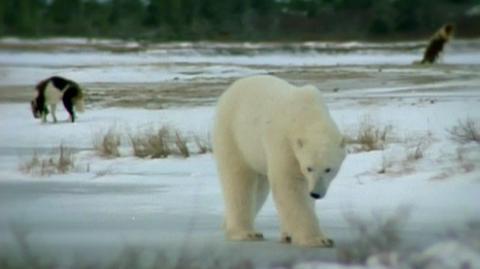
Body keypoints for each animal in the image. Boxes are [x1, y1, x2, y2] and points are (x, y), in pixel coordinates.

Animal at [213, 74, 344, 246]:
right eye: (309, 168)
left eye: (329, 169)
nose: (316, 193)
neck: (307, 112)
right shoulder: (284, 142)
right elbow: (289, 185)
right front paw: (318, 239)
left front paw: (288, 235)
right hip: (234, 135)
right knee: (238, 181)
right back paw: (245, 232)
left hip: (256, 153)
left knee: (260, 188)